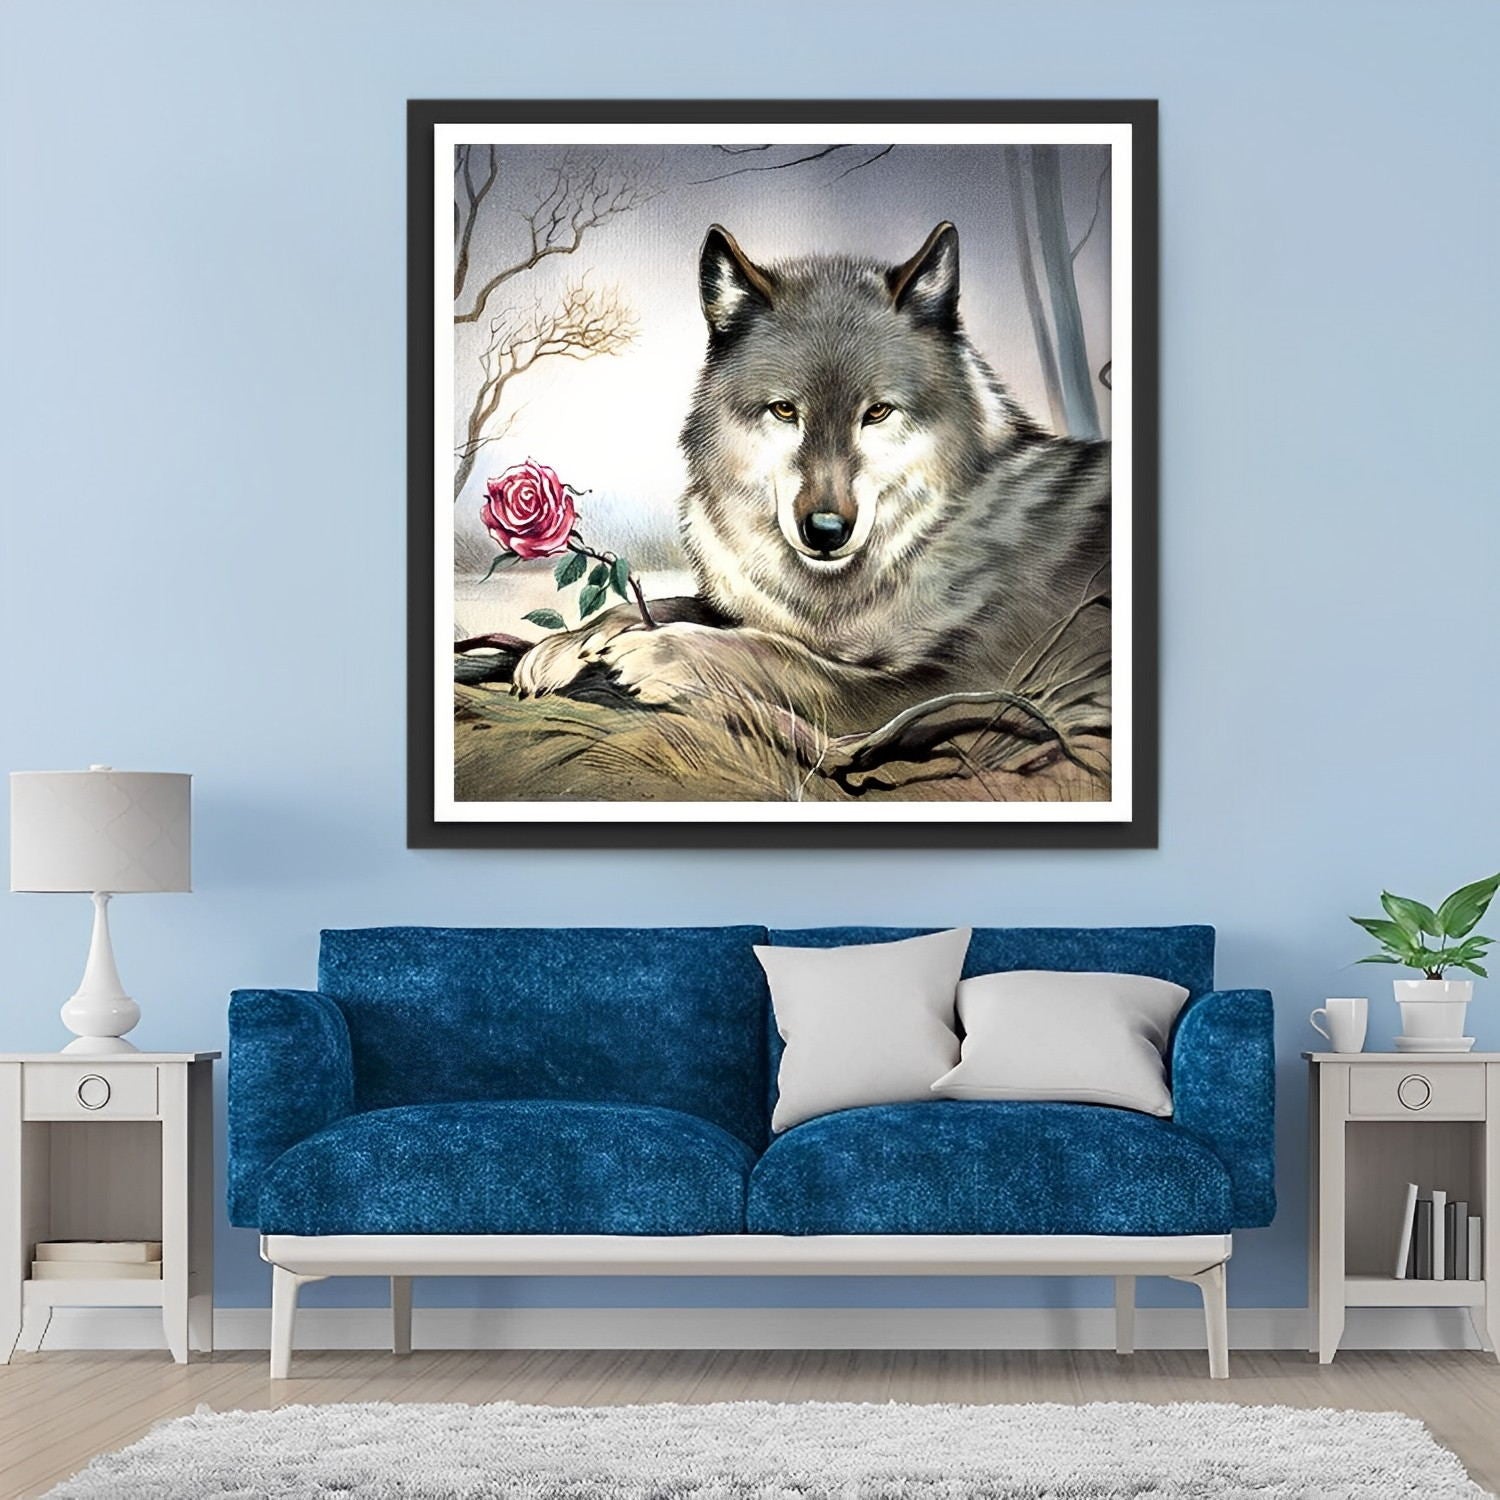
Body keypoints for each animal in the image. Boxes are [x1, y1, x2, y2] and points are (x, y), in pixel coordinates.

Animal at [514, 220, 1111, 749]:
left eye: (877, 412)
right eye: (784, 410)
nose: (825, 530)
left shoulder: (957, 680)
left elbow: (780, 657)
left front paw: (657, 654)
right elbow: (670, 604)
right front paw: (570, 643)